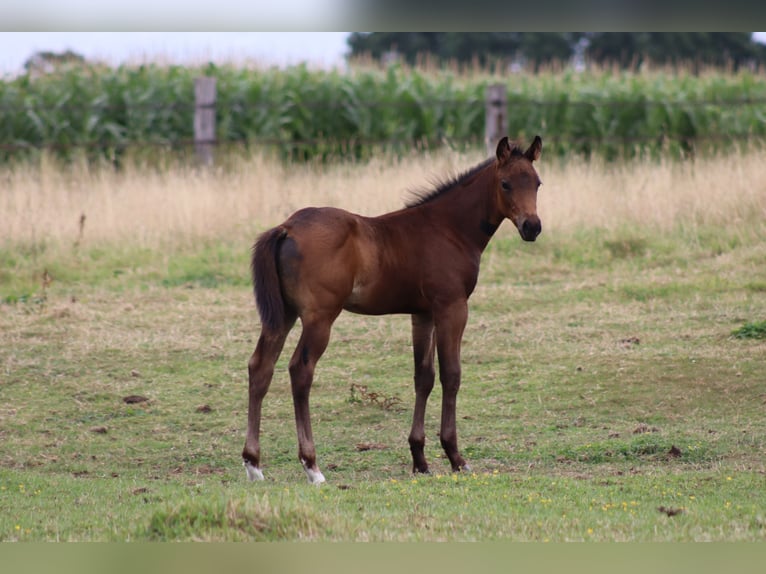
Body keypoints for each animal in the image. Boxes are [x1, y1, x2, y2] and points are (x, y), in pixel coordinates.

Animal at [243, 135, 543, 484]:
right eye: (506, 183)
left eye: (537, 183)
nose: (532, 227)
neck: (449, 229)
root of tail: (287, 227)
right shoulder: (452, 307)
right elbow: (451, 374)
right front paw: (456, 457)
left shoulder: (423, 314)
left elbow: (423, 376)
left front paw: (420, 460)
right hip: (319, 318)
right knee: (300, 371)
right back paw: (312, 466)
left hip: (282, 316)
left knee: (260, 367)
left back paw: (253, 464)